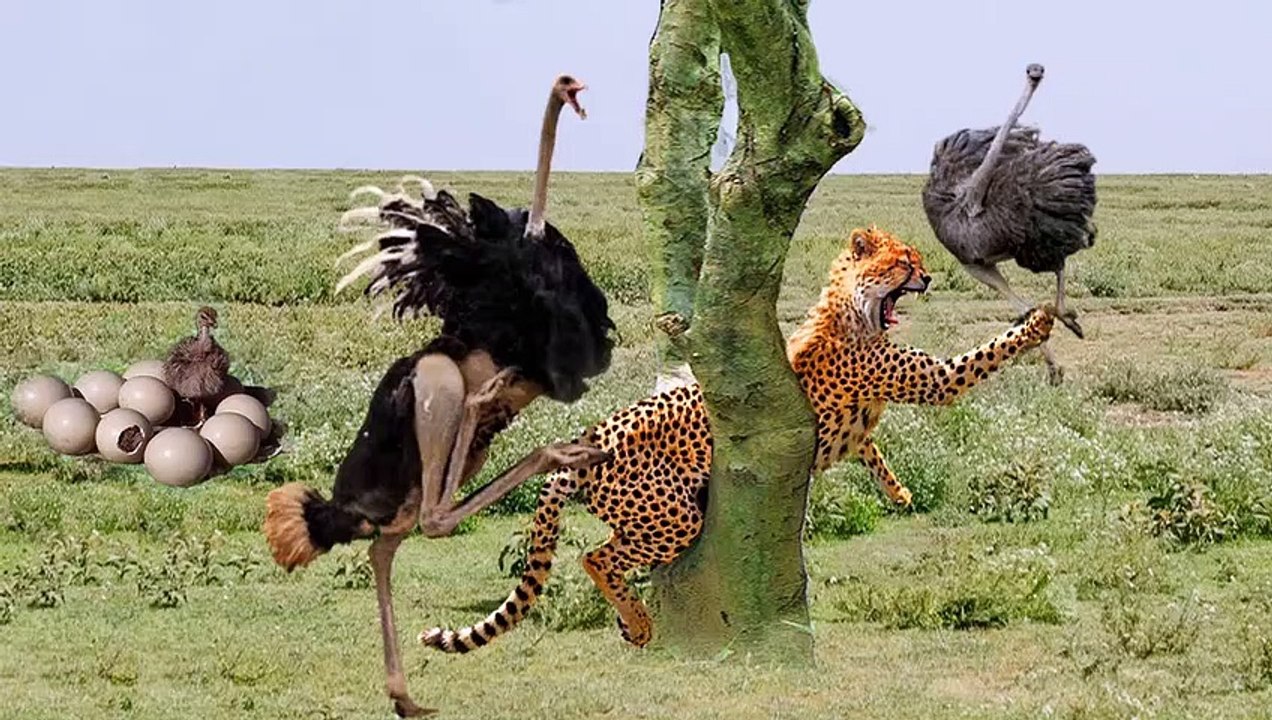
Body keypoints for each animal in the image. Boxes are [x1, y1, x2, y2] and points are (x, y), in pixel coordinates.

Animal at [419, 225, 1057, 653]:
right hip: (673, 515)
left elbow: (869, 448)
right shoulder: (929, 380)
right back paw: (639, 620)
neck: (851, 309)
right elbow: (978, 358)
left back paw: (629, 621)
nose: (926, 276)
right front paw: (1037, 322)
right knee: (594, 555)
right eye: (905, 261)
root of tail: (590, 433)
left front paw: (896, 490)